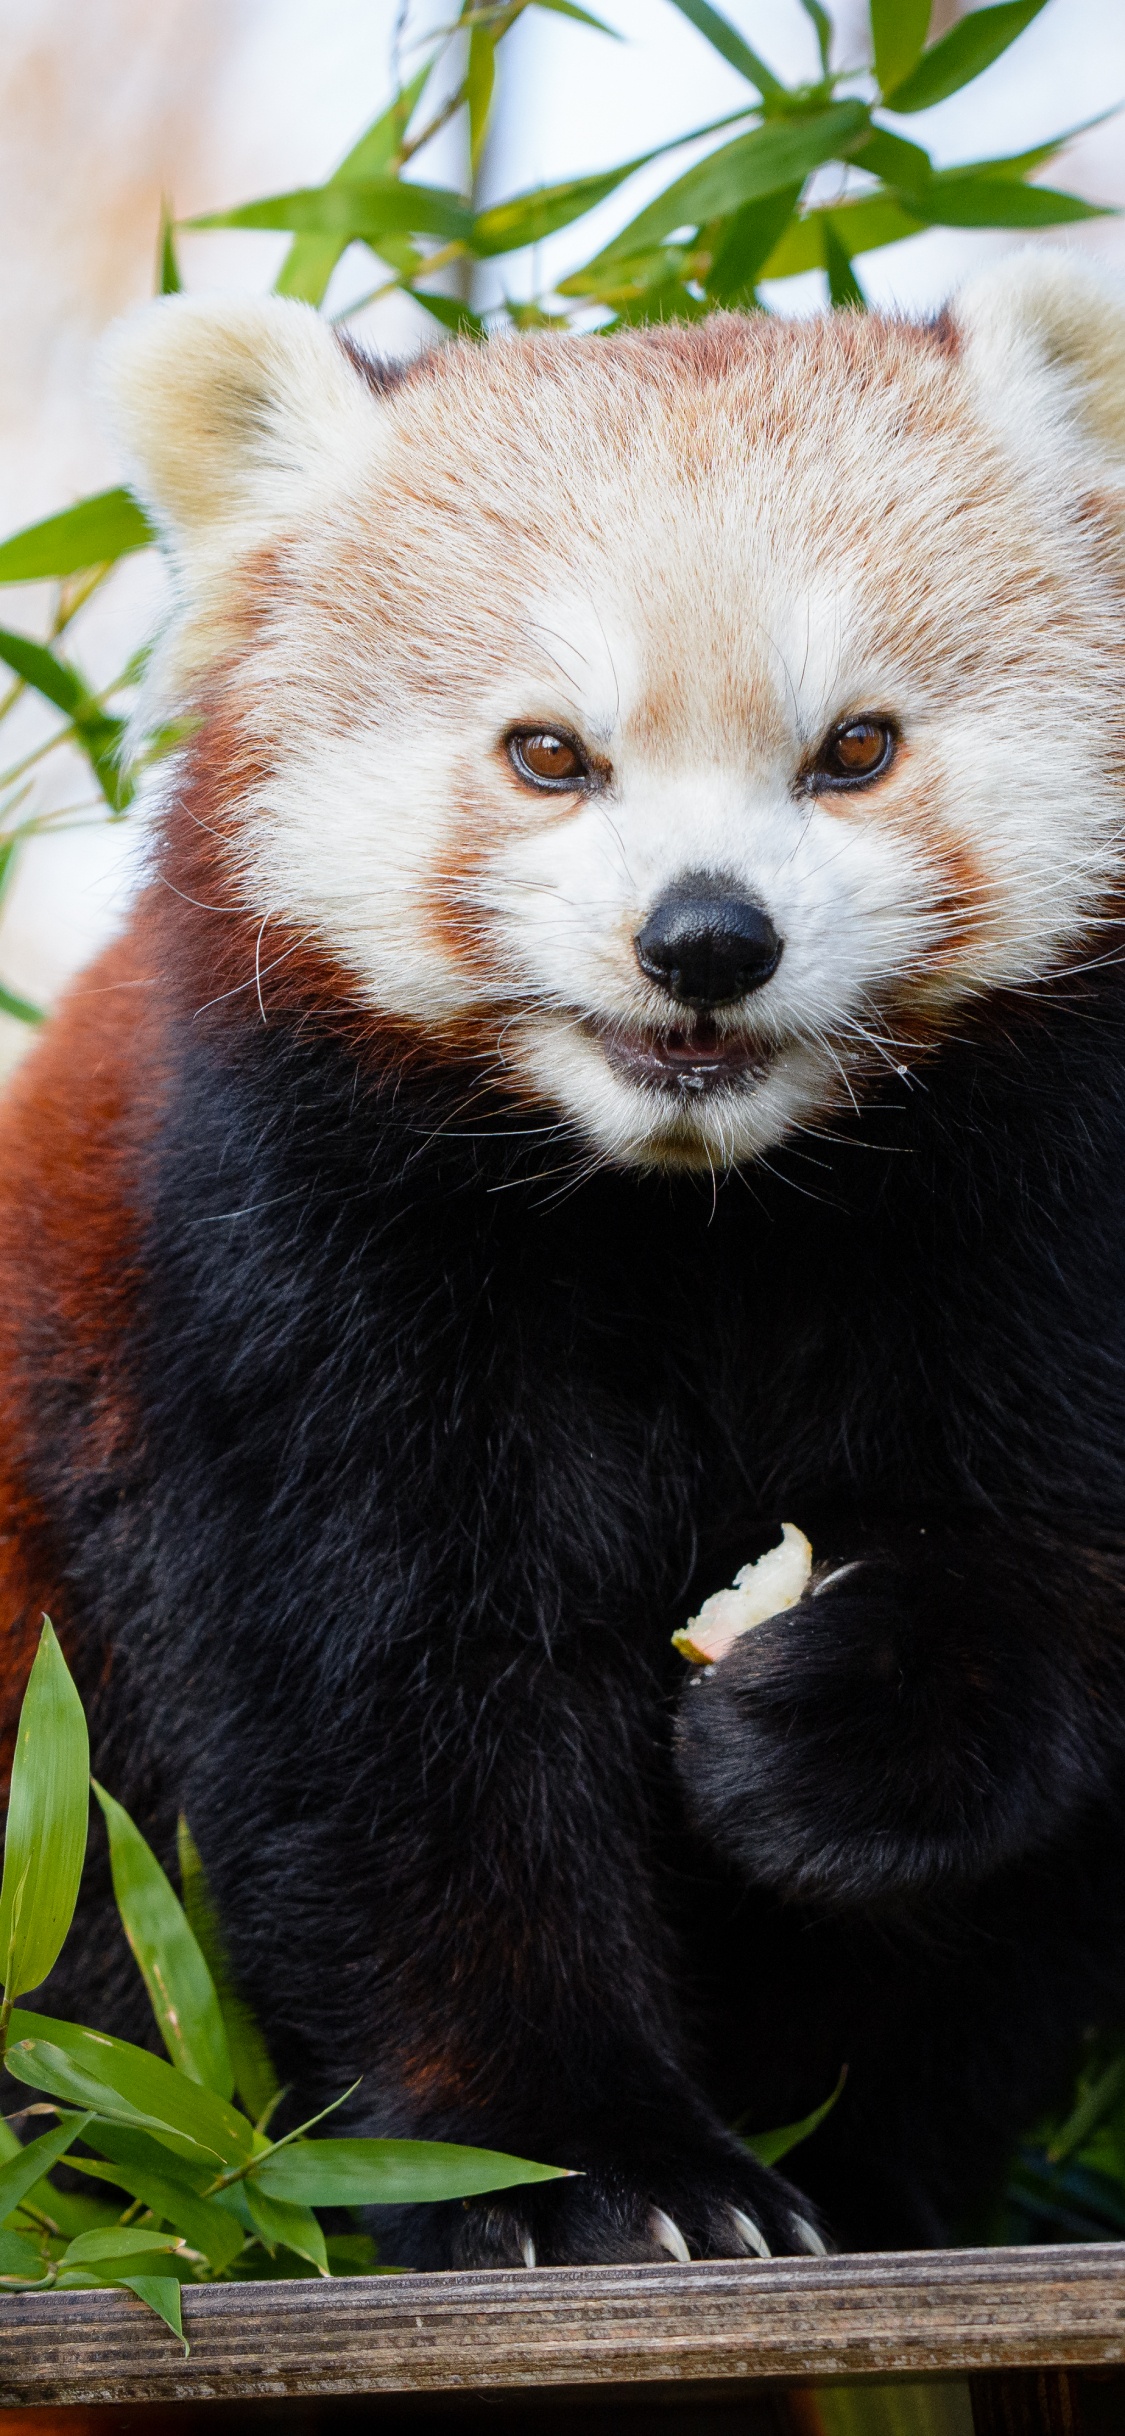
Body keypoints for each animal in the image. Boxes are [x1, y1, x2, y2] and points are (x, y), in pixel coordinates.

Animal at [2, 256, 1125, 2250]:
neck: (697, 1209)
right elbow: (387, 1720)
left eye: (854, 749)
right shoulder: (281, 1267)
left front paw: (806, 1738)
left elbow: (1043, 1569)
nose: (706, 938)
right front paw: (585, 2163)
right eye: (550, 755)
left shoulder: (1036, 1211)